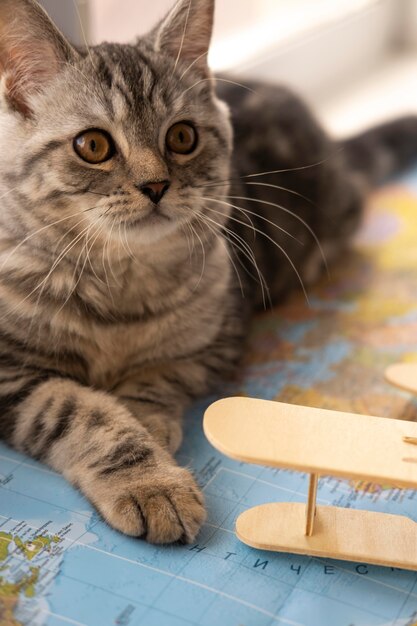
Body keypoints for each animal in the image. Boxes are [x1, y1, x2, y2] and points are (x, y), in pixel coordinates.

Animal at [0, 0, 416, 540]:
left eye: (182, 137)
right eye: (92, 146)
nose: (155, 185)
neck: (119, 285)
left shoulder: (215, 341)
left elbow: (154, 378)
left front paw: (146, 426)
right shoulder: (11, 374)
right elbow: (80, 411)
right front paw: (149, 481)